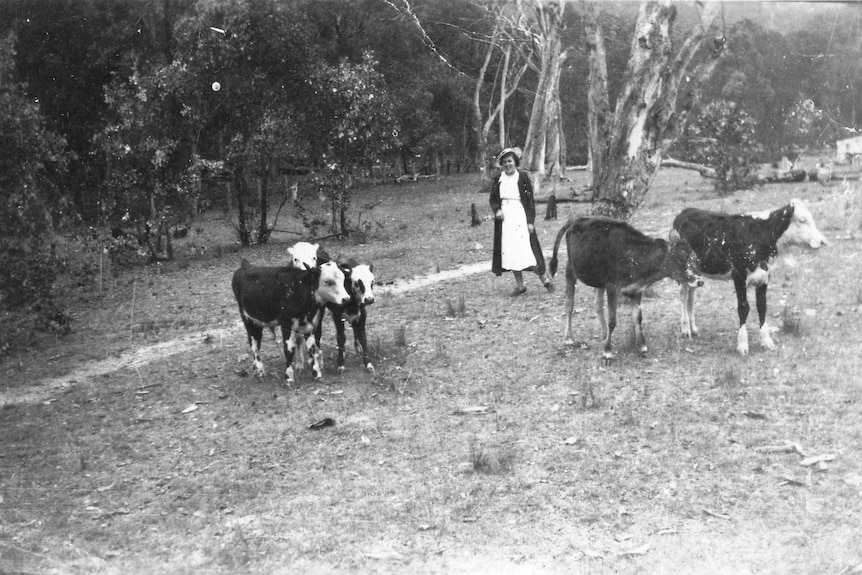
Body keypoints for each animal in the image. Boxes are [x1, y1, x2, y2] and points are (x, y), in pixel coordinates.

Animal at [552, 218, 704, 362]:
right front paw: (607, 353)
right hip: (570, 269)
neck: (634, 257)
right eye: (681, 258)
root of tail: (577, 219)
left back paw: (604, 334)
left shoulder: (636, 290)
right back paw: (568, 338)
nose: (700, 280)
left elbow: (637, 318)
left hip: (599, 281)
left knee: (598, 304)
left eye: (695, 257)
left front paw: (643, 348)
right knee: (569, 304)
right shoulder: (612, 287)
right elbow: (612, 320)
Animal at [676, 200, 832, 358]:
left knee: (691, 296)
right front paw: (742, 345)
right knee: (683, 295)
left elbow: (762, 306)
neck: (759, 234)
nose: (823, 241)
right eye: (802, 220)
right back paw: (685, 329)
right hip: (683, 269)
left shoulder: (764, 277)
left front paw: (766, 341)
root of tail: (685, 211)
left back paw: (693, 328)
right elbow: (743, 308)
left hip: (695, 272)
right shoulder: (738, 277)